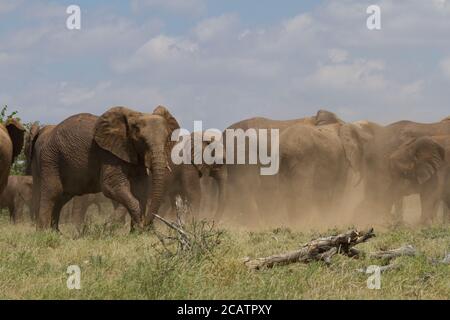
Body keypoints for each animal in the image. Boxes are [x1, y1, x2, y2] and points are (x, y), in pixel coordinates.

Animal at [29, 106, 179, 231]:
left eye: (167, 139)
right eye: (141, 140)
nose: (147, 225)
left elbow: (141, 188)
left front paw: (137, 232)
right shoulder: (108, 153)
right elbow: (111, 186)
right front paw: (138, 229)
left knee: (62, 197)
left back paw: (56, 233)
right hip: (51, 158)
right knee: (53, 192)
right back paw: (43, 233)